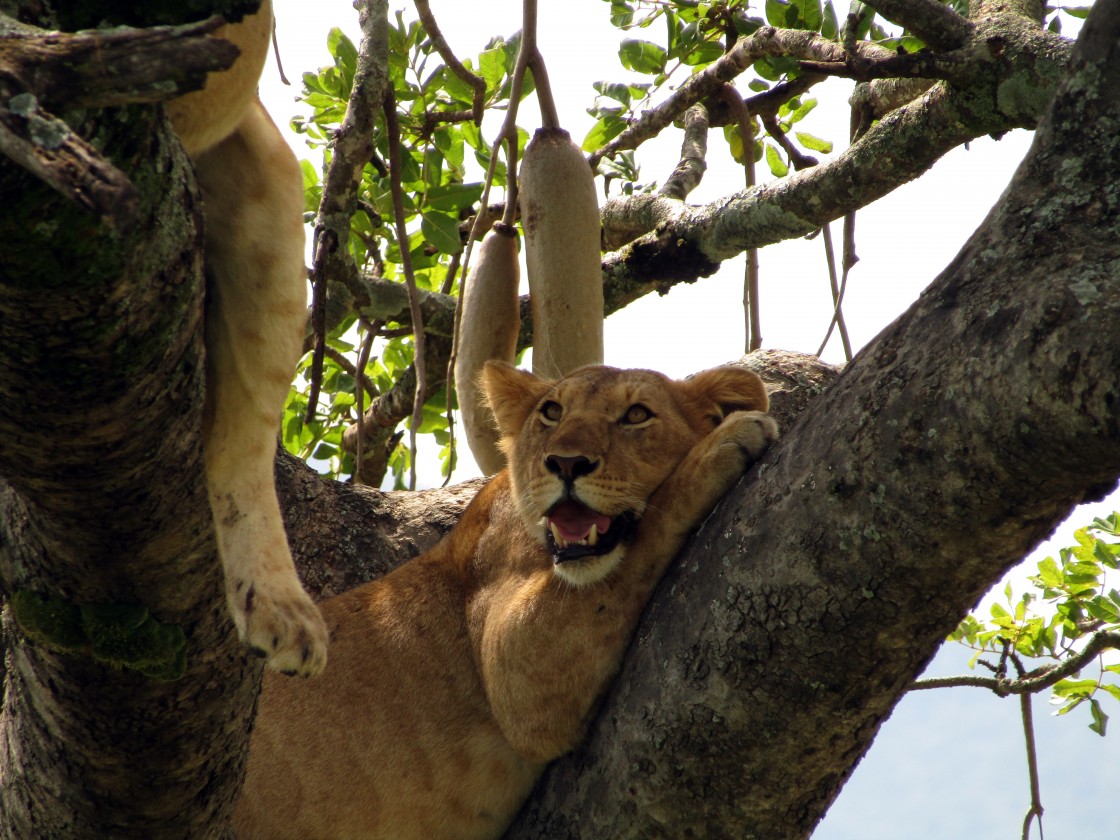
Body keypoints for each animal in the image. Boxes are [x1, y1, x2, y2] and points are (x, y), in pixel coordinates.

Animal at [234, 360, 779, 840]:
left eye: (637, 415)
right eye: (552, 412)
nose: (565, 463)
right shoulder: (514, 664)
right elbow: (653, 521)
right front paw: (725, 443)